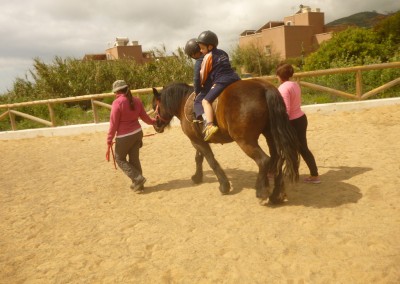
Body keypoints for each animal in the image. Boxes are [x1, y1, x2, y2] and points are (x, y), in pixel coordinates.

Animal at [152, 79, 298, 204]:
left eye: (155, 106)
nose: (156, 125)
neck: (183, 102)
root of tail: (264, 88)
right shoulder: (198, 140)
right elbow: (199, 158)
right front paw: (197, 177)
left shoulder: (196, 141)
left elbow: (211, 161)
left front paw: (224, 185)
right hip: (271, 135)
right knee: (278, 160)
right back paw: (276, 195)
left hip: (245, 141)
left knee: (264, 160)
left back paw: (262, 192)